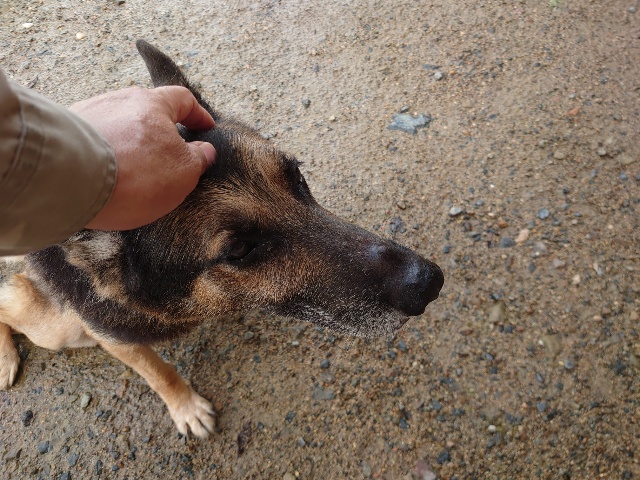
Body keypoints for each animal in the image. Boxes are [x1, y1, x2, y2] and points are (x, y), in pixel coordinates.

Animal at [0, 40, 444, 439]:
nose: (428, 284)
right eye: (240, 249)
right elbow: (158, 371)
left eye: (297, 177)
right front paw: (186, 407)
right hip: (54, 327)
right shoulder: (115, 337)